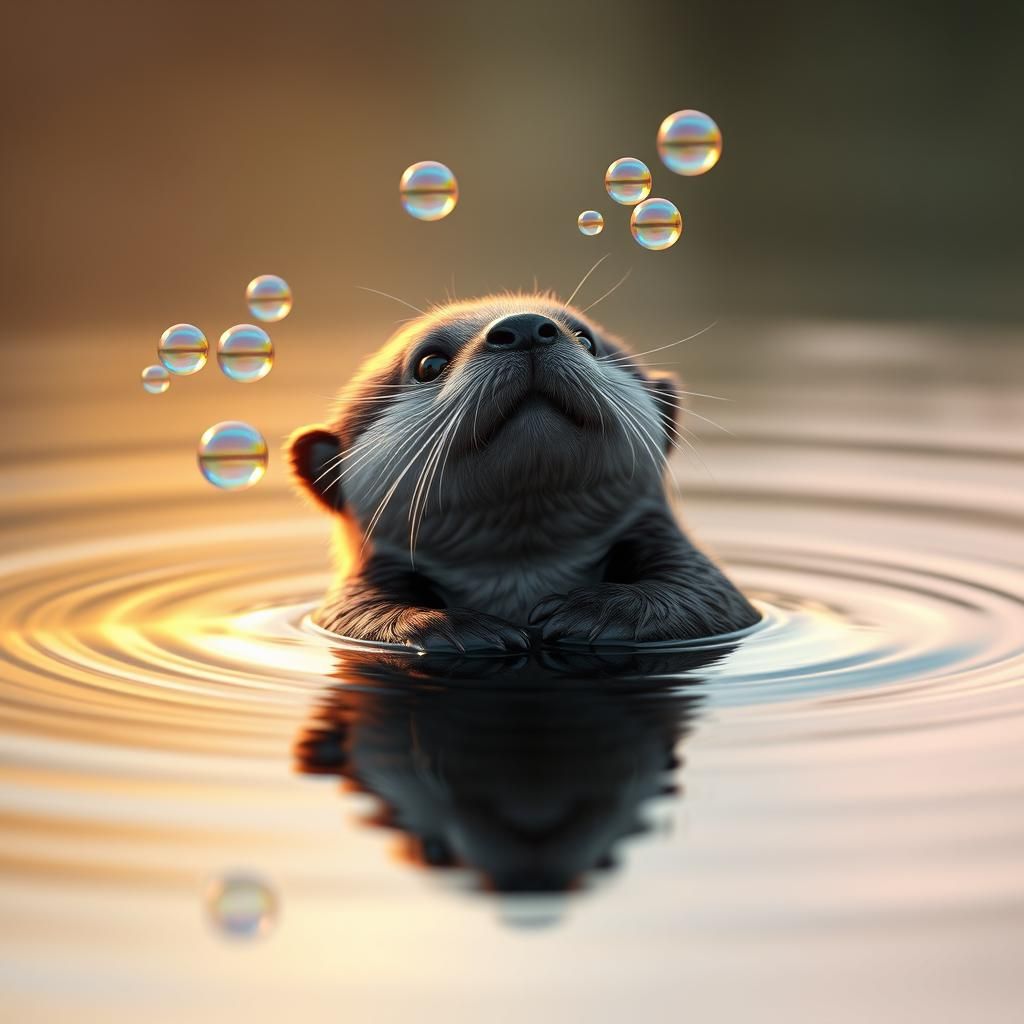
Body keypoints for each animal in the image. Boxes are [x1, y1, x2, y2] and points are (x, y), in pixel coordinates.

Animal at [289, 293, 757, 652]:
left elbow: (702, 596)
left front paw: (592, 613)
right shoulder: (340, 611)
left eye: (587, 339)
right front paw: (457, 628)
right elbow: (361, 614)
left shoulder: (722, 601)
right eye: (429, 363)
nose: (526, 325)